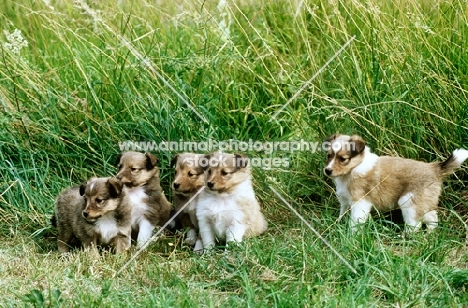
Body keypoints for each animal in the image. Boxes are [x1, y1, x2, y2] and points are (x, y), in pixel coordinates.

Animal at [324, 134, 468, 232]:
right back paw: (430, 235)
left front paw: (351, 235)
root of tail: (435, 169)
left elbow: (355, 222)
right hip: (424, 203)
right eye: (329, 156)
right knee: (432, 218)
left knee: (415, 226)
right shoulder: (345, 201)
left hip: (409, 202)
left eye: (343, 159)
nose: (327, 171)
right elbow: (342, 214)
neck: (352, 169)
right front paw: (337, 225)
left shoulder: (360, 202)